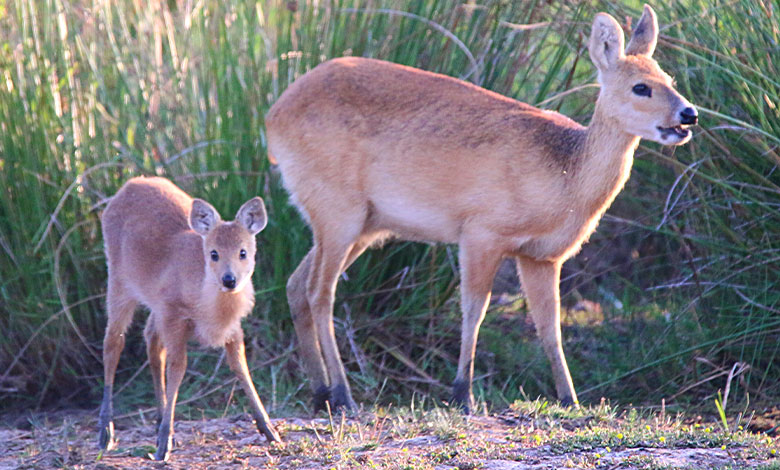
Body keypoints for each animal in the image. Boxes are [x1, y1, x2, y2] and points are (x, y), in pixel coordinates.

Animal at [266, 5, 696, 414]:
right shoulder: (480, 233)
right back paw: (343, 396)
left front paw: (570, 398)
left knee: (296, 286)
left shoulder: (542, 256)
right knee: (320, 292)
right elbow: (474, 310)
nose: (688, 114)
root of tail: (273, 117)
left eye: (670, 79)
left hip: (362, 225)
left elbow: (550, 327)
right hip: (339, 211)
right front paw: (463, 394)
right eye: (640, 87)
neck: (566, 173)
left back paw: (321, 392)